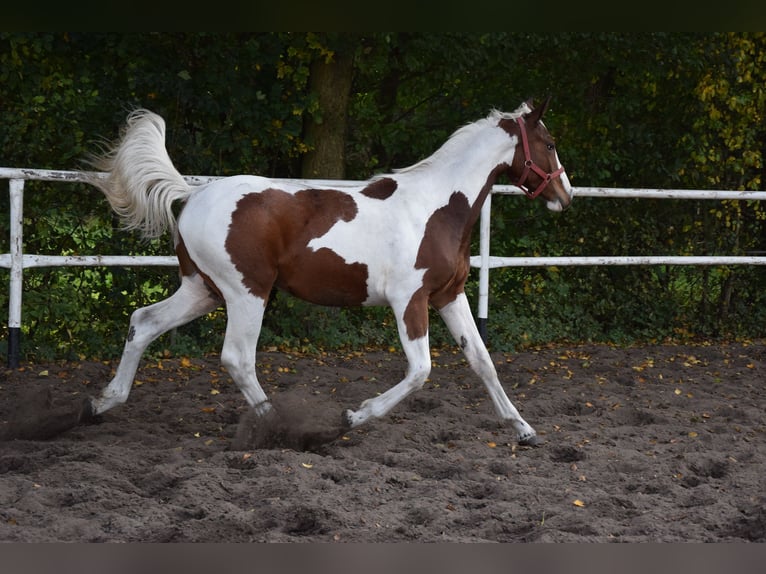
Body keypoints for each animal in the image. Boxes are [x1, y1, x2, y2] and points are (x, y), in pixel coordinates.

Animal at [85, 99, 572, 447]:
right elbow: (420, 370)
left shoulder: (450, 296)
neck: (436, 208)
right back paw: (283, 429)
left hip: (202, 289)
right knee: (237, 358)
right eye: (549, 145)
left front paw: (524, 430)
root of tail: (192, 194)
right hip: (246, 292)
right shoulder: (409, 302)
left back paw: (101, 404)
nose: (565, 196)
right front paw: (352, 416)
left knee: (143, 322)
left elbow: (482, 361)